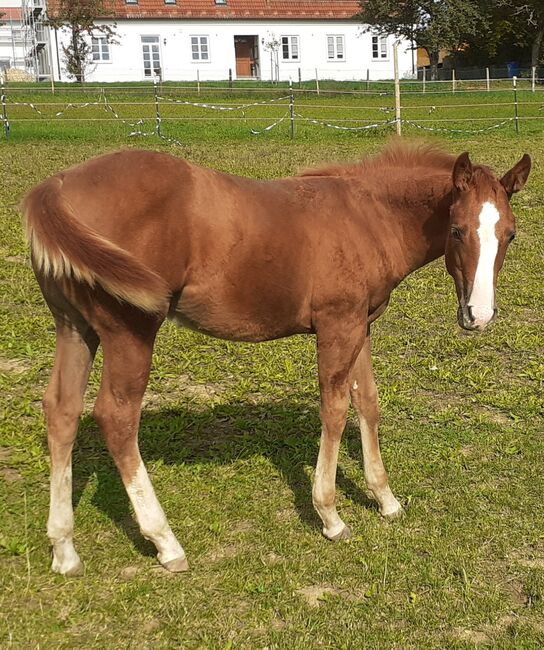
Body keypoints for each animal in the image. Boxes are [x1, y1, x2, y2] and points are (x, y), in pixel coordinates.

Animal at [23, 142, 528, 572]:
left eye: (510, 234)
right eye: (457, 231)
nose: (479, 316)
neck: (367, 217)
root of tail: (58, 186)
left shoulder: (360, 324)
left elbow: (368, 402)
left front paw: (385, 499)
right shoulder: (337, 325)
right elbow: (335, 409)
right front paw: (330, 515)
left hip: (74, 327)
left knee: (61, 411)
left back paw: (64, 549)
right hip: (130, 330)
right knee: (116, 417)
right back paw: (165, 542)